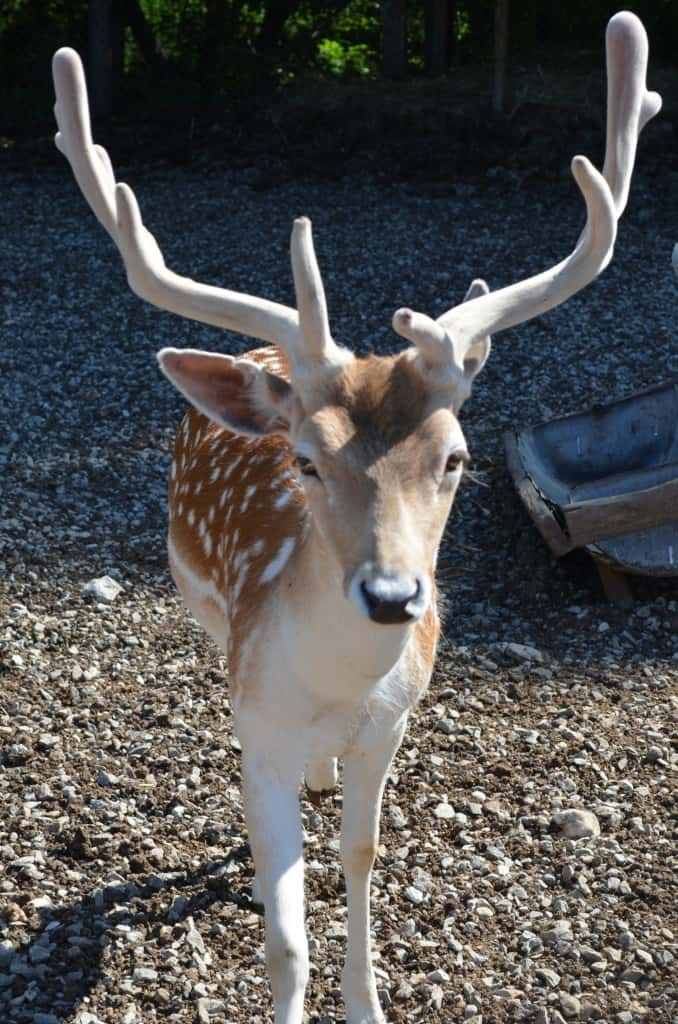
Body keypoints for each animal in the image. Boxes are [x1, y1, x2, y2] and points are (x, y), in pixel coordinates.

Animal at [52, 13, 659, 1024]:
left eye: (455, 457)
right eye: (304, 460)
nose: (392, 595)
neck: (334, 693)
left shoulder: (392, 725)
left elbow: (360, 855)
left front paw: (368, 1000)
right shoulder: (256, 723)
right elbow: (285, 933)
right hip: (198, 600)